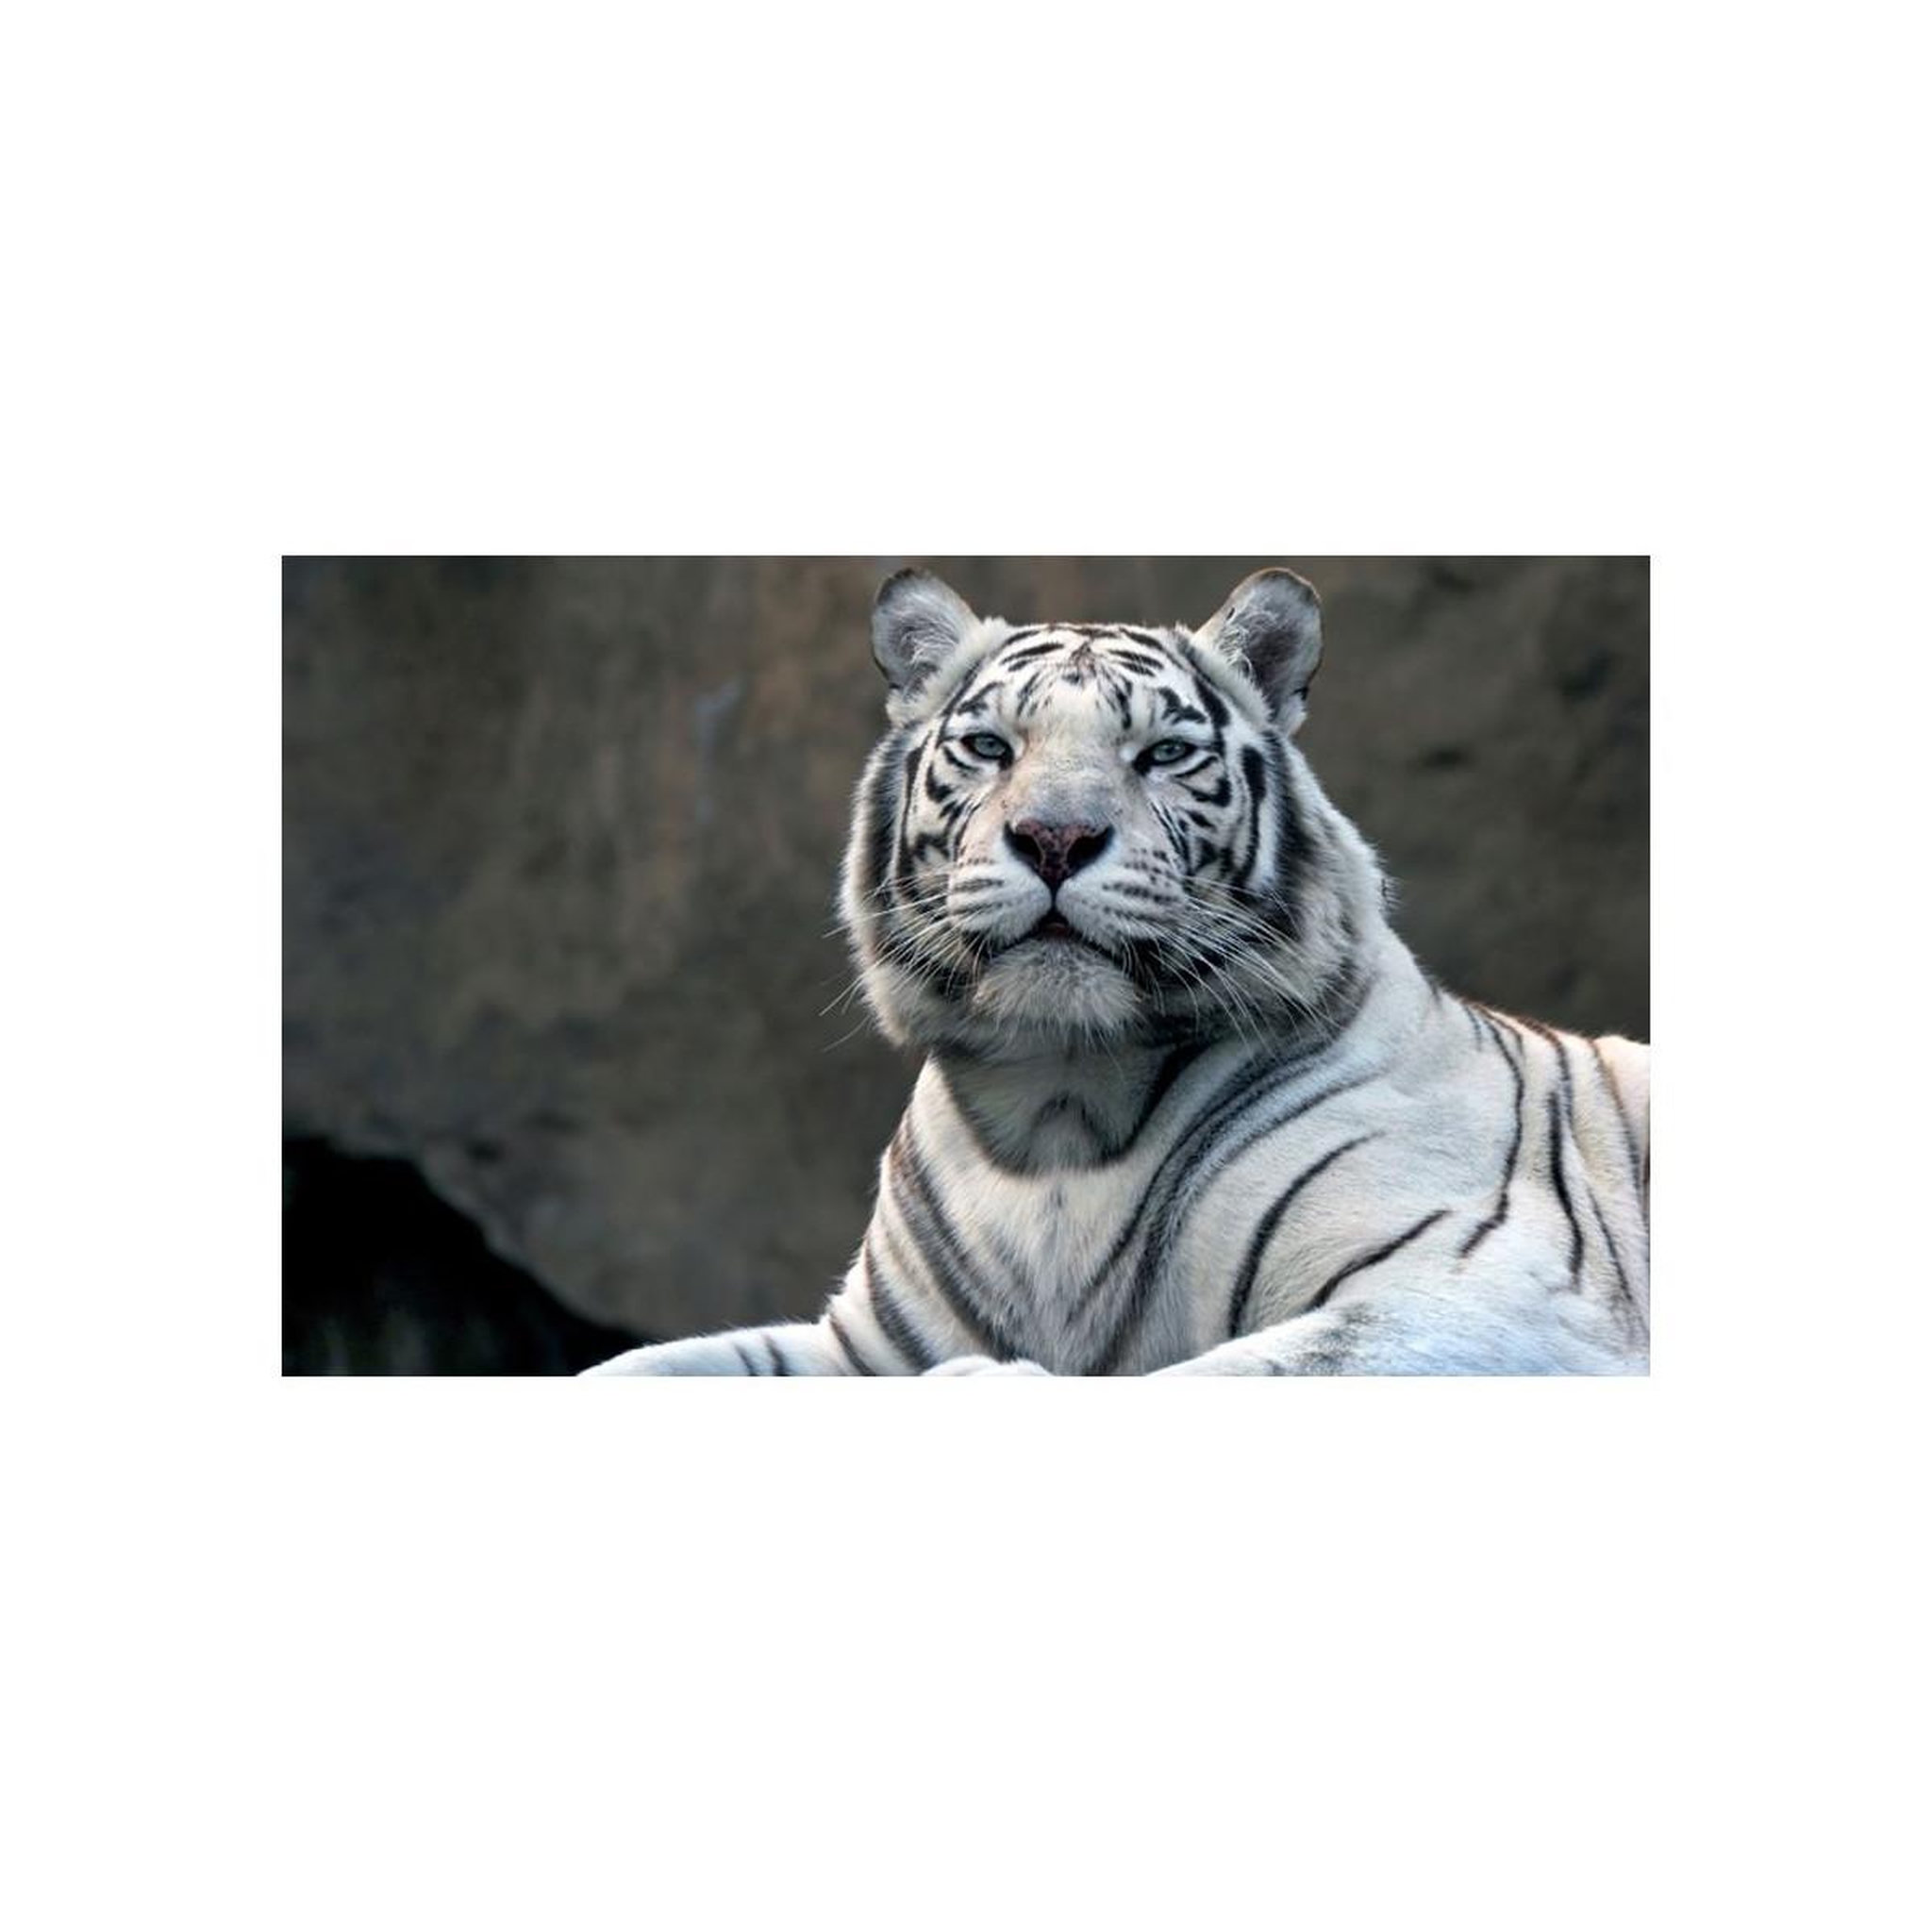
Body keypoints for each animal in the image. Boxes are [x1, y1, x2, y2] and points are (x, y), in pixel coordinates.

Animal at [585, 566, 1649, 1376]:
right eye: (989, 746)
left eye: (1163, 753)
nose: (1055, 837)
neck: (1055, 1111)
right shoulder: (860, 1347)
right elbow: (638, 1366)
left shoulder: (1484, 1287)